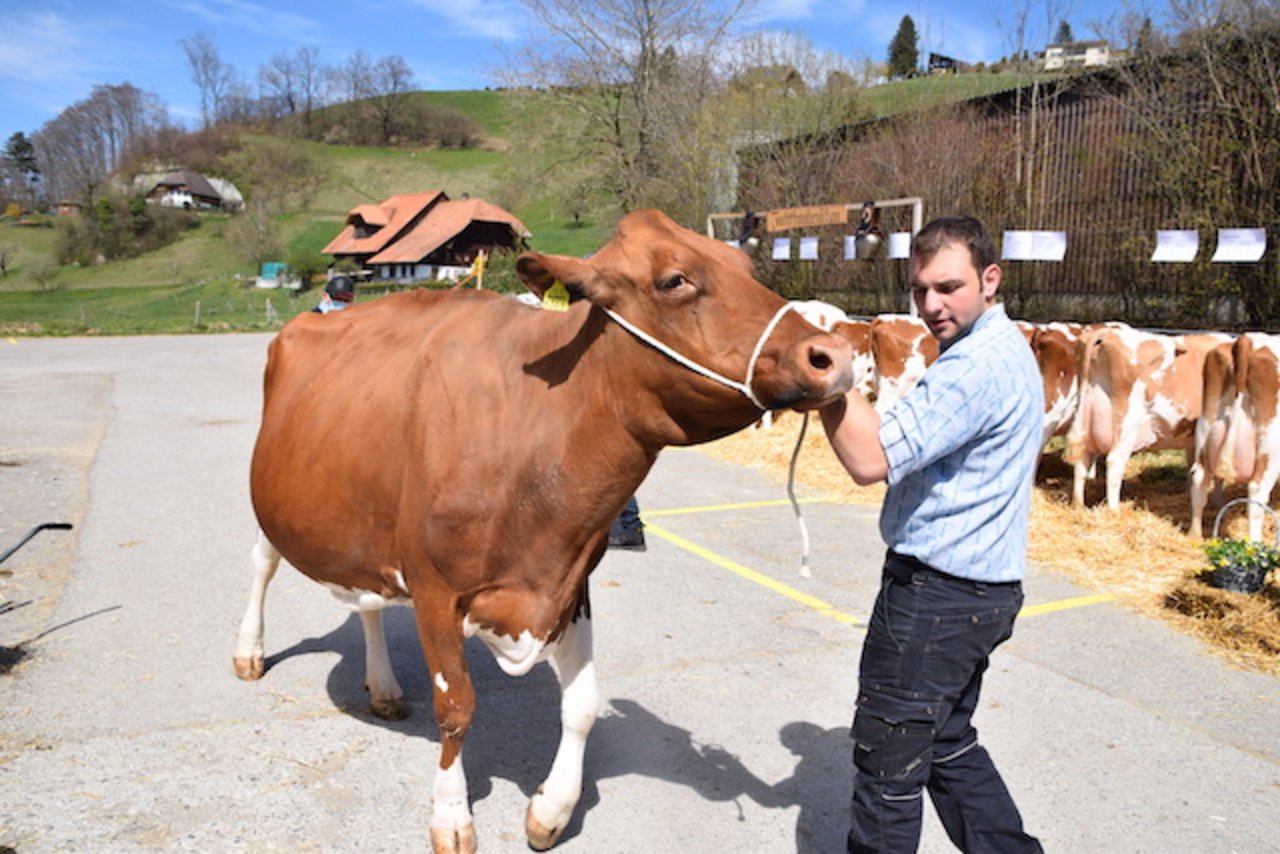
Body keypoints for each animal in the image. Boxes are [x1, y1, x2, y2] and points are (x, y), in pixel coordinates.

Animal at [235, 208, 855, 854]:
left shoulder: (570, 579)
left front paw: (551, 811)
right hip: (272, 502)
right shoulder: (435, 589)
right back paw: (249, 652)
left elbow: (582, 704)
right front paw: (451, 816)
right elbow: (456, 706)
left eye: (745, 266)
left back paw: (382, 687)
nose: (834, 354)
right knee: (262, 563)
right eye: (674, 280)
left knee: (369, 602)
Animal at [1059, 320, 1228, 507]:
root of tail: (1106, 334)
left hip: (1087, 420)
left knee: (1081, 460)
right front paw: (1217, 502)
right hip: (1126, 425)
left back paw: (1078, 505)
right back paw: (1113, 509)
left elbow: (1192, 465)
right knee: (1114, 462)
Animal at [1182, 330, 1280, 537]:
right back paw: (1254, 541)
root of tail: (1248, 339)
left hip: (1205, 428)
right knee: (1257, 490)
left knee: (1199, 479)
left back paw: (1194, 535)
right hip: (1271, 444)